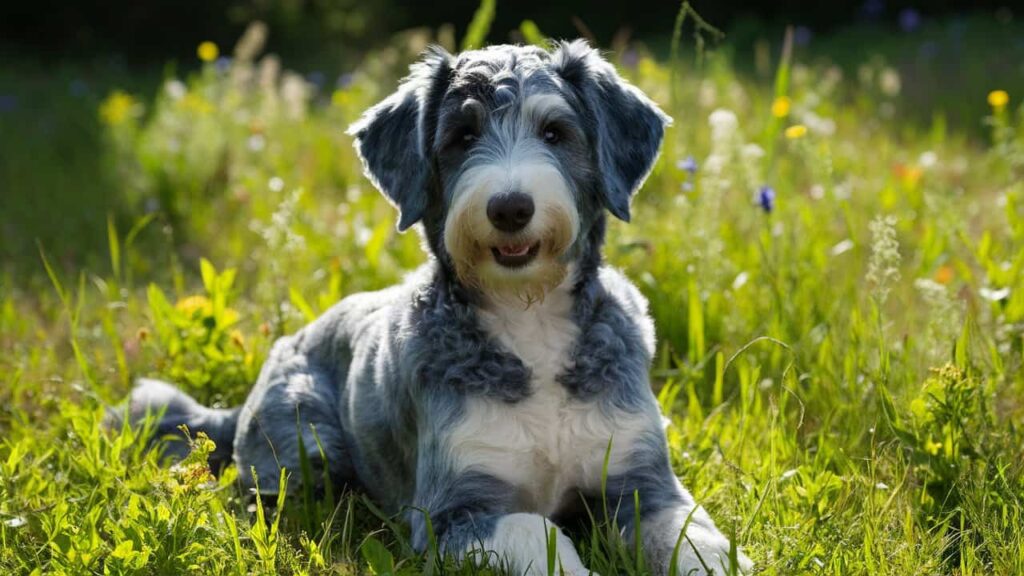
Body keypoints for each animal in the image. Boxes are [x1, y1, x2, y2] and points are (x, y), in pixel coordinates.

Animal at [128, 40, 753, 573]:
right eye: (461, 136)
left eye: (555, 132)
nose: (510, 208)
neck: (530, 322)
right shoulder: (455, 512)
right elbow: (537, 532)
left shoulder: (643, 482)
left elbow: (694, 541)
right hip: (304, 441)